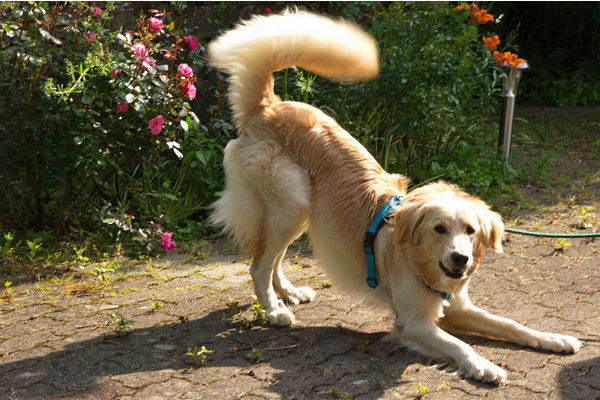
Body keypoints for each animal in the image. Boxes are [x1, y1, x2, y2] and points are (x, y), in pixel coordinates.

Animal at [209, 10, 584, 382]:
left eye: (471, 231)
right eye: (438, 229)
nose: (460, 259)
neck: (423, 264)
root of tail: (269, 107)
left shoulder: (458, 307)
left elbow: (511, 324)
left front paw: (554, 338)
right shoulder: (414, 323)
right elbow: (460, 345)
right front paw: (485, 365)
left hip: (296, 213)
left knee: (272, 258)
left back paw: (287, 293)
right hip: (289, 207)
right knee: (259, 264)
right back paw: (274, 310)